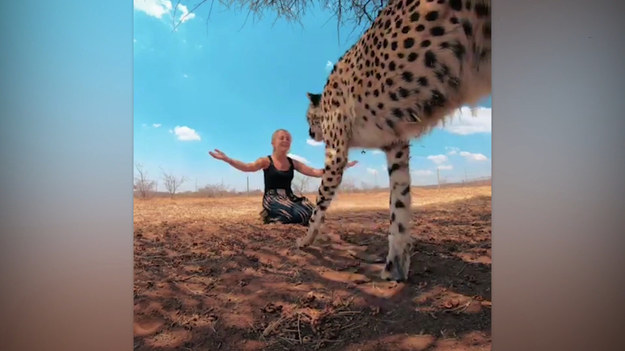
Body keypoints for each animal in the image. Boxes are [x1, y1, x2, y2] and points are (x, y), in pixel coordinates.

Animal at [294, 0, 490, 282]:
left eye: (308, 118)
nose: (310, 134)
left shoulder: (336, 153)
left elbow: (319, 204)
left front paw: (306, 239)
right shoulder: (395, 146)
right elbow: (399, 204)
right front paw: (395, 267)